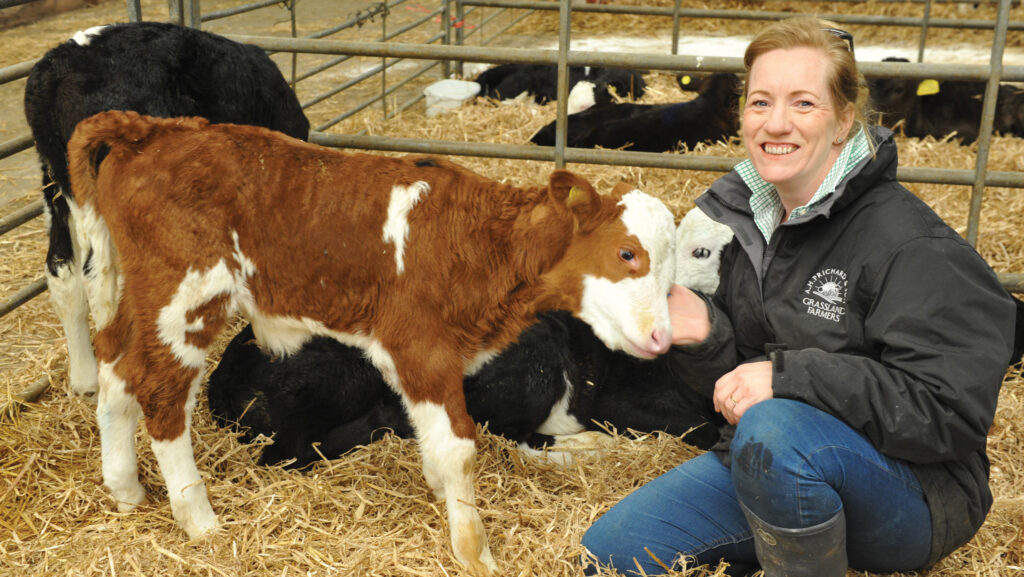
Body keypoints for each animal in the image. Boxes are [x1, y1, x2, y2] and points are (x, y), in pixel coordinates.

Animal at [70, 110, 679, 573]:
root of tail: (154, 128)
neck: (477, 244)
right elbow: (460, 448)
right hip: (188, 299)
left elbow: (435, 441)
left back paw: (126, 489)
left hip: (143, 296)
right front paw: (473, 551)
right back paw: (199, 521)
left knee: (117, 368)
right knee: (160, 393)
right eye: (627, 253)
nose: (662, 336)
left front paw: (440, 495)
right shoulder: (420, 346)